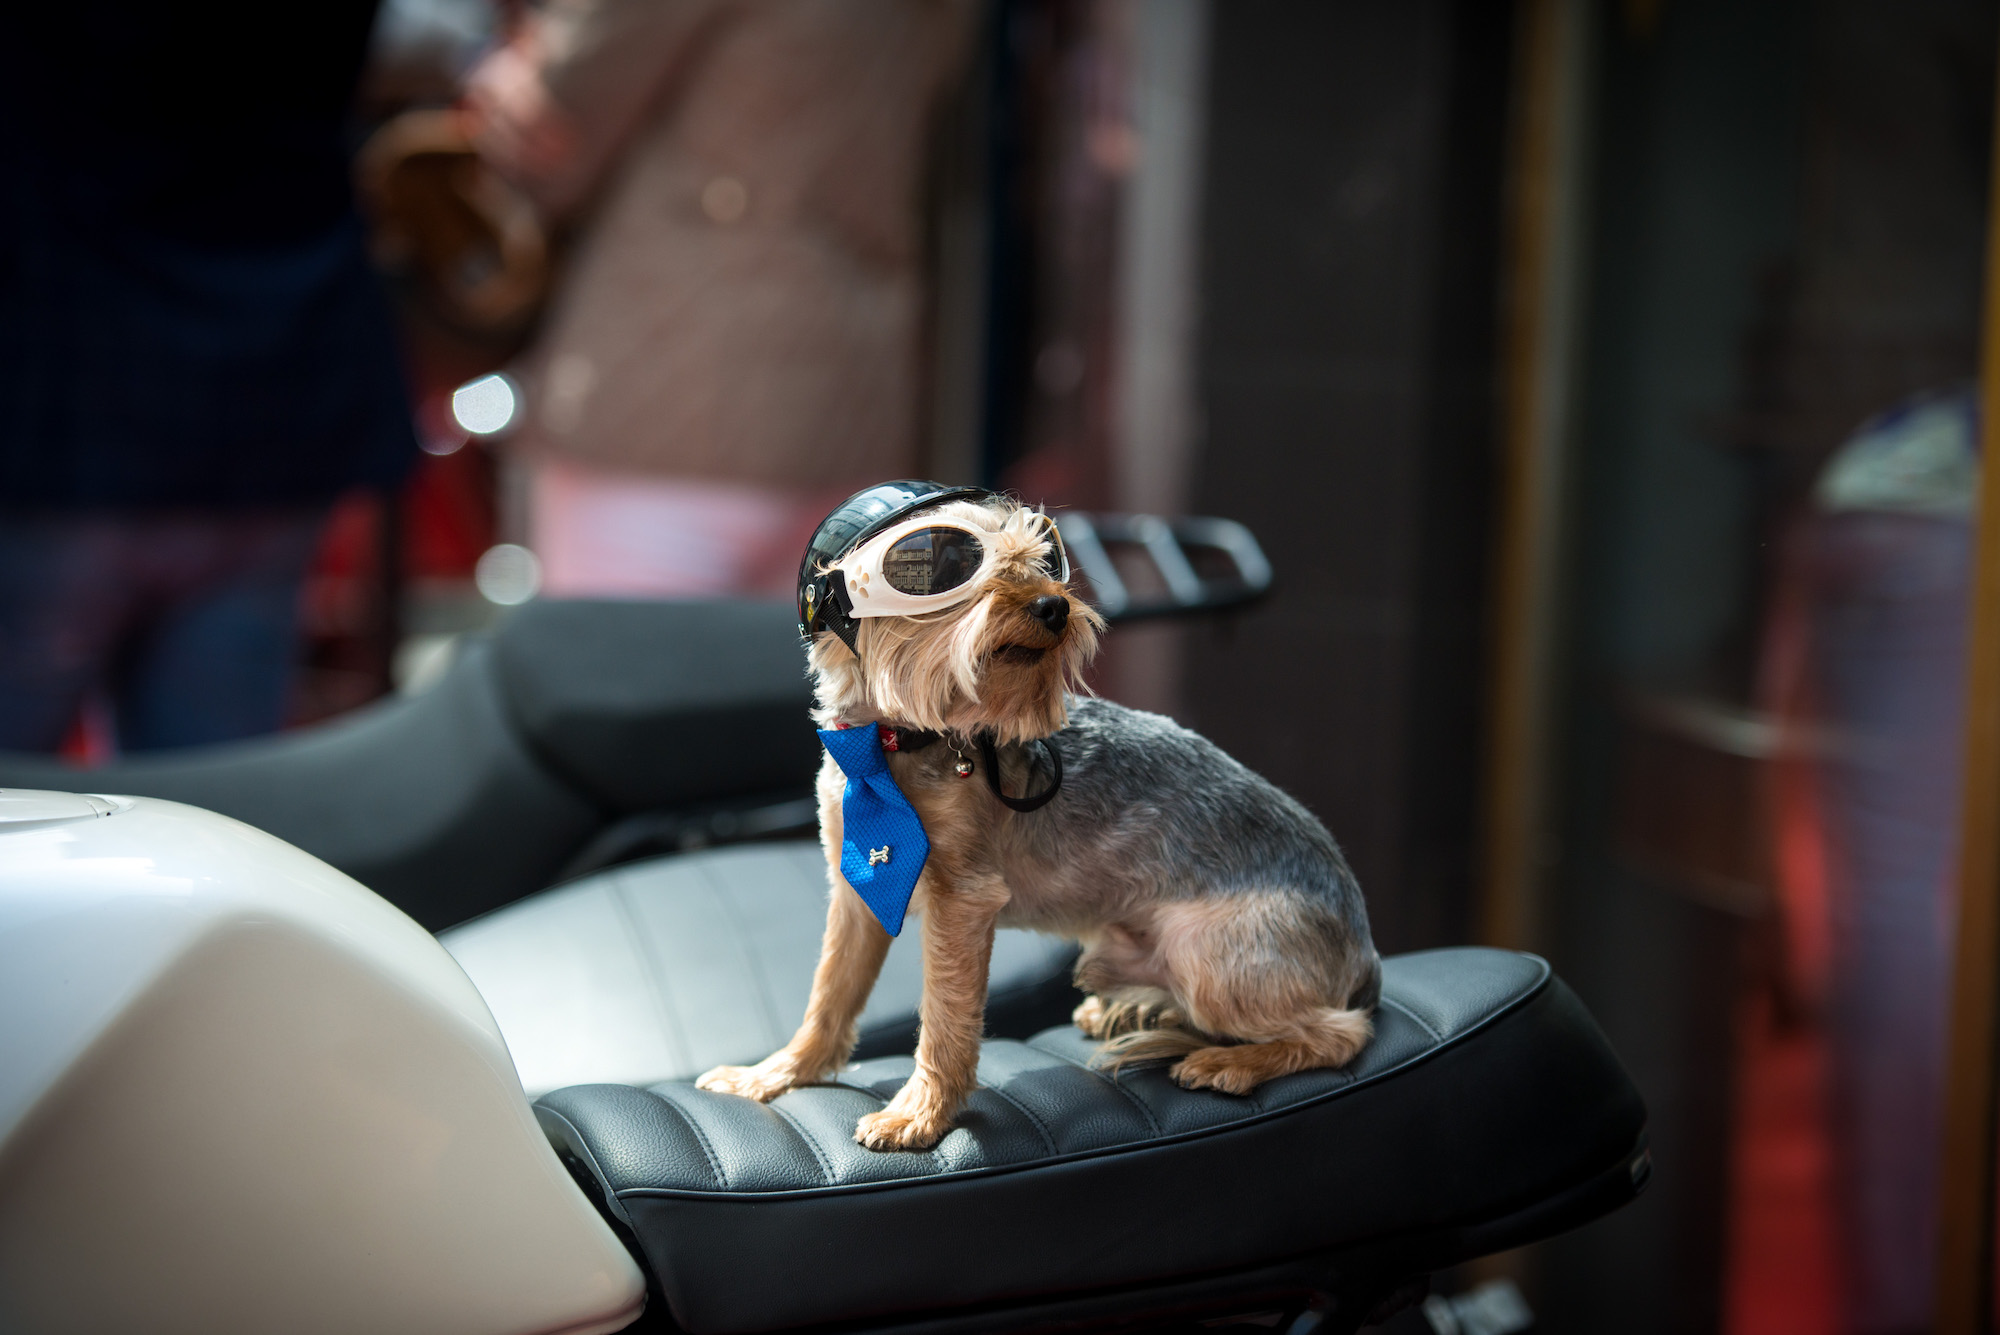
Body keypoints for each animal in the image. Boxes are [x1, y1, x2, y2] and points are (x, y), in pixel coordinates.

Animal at [700, 489, 1376, 1151]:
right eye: (945, 564)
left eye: (1044, 560)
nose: (1054, 605)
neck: (895, 741)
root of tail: (1362, 944)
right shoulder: (857, 888)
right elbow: (830, 991)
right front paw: (777, 1074)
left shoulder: (962, 901)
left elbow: (945, 1014)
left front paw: (919, 1114)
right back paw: (1133, 1012)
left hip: (1210, 957)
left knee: (1344, 1030)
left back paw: (1227, 1061)